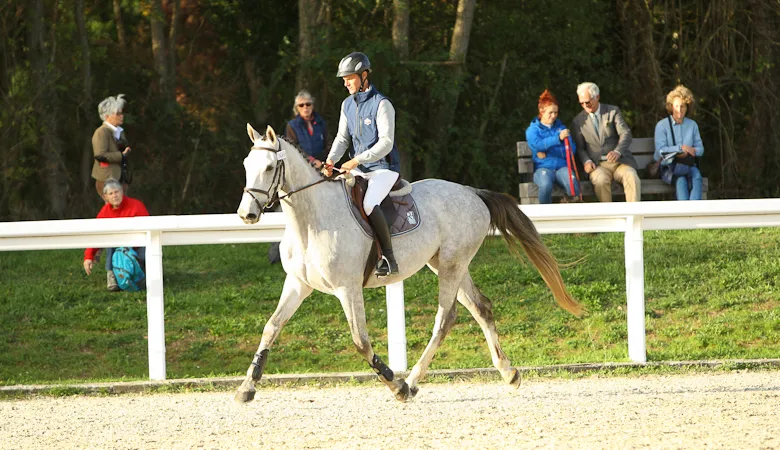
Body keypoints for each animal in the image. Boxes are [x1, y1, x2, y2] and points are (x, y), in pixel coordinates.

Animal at [235, 124, 582, 403]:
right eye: (246, 165)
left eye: (269, 167)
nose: (246, 214)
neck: (310, 221)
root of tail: (472, 192)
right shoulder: (298, 283)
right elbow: (271, 328)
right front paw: (246, 388)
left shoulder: (348, 289)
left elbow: (361, 342)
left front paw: (396, 385)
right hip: (448, 264)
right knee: (481, 307)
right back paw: (508, 372)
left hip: (452, 265)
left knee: (445, 319)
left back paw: (412, 382)